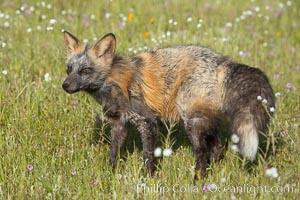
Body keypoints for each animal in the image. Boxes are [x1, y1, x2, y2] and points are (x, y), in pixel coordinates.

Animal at [62, 31, 276, 180]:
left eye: (86, 70)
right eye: (69, 69)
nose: (65, 85)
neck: (117, 83)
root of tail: (224, 61)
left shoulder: (147, 122)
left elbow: (148, 156)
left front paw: (147, 180)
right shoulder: (119, 123)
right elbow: (113, 153)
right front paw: (111, 174)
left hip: (191, 123)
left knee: (202, 153)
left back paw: (197, 181)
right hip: (203, 119)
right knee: (217, 148)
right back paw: (210, 173)